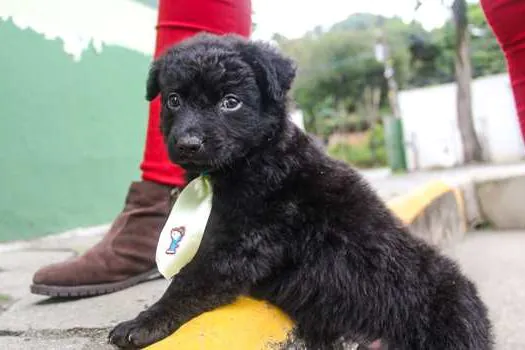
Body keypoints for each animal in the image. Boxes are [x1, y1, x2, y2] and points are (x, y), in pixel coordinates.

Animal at [108, 33, 494, 350]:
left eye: (230, 102)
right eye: (173, 100)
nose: (188, 144)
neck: (252, 159)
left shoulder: (241, 244)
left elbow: (188, 281)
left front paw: (143, 323)